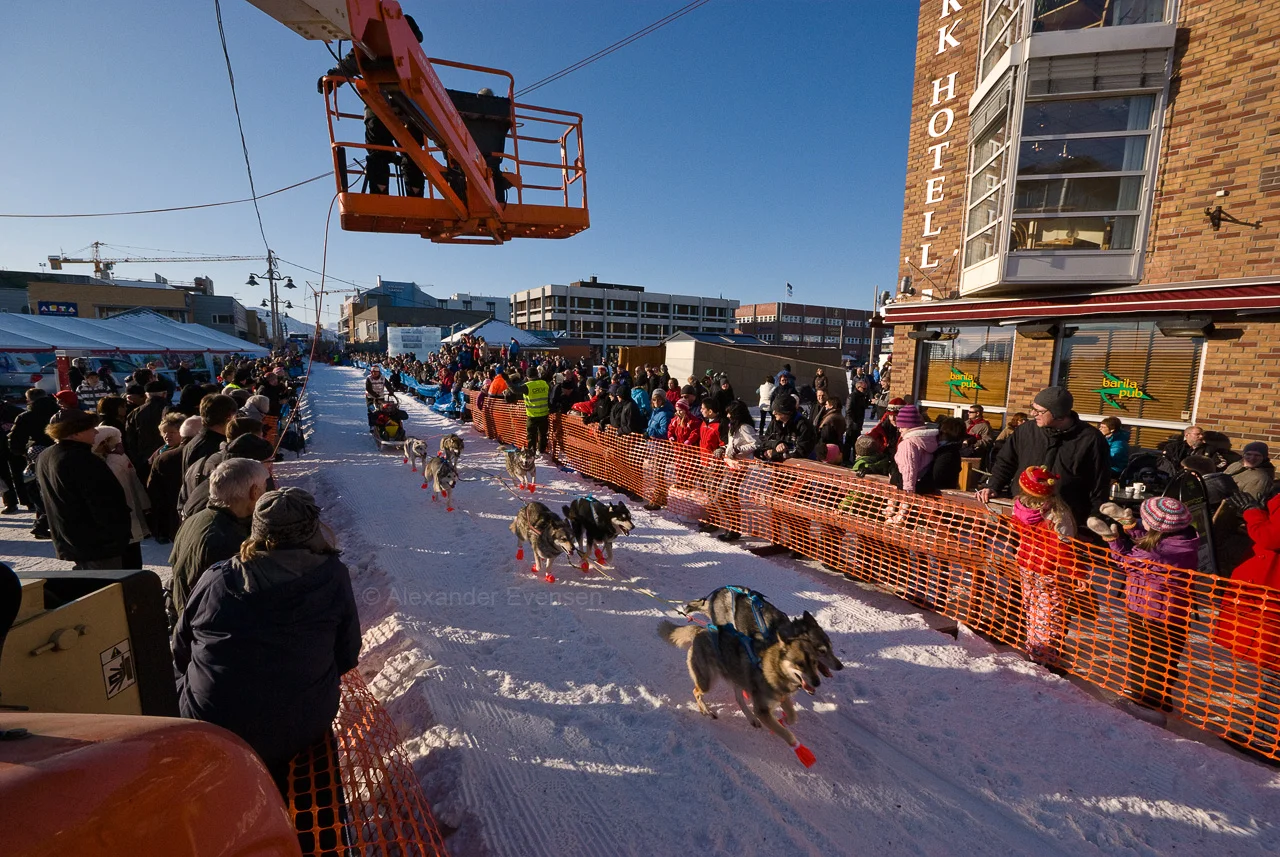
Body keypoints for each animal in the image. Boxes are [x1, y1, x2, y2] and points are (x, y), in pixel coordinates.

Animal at [658, 618, 822, 764]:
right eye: (800, 664)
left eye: (815, 662)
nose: (817, 682)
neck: (774, 668)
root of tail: (701, 630)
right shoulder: (762, 710)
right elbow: (786, 733)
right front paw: (797, 746)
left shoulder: (781, 696)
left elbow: (793, 716)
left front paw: (787, 720)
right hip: (708, 683)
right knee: (696, 692)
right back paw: (706, 711)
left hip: (737, 679)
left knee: (738, 699)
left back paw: (750, 718)